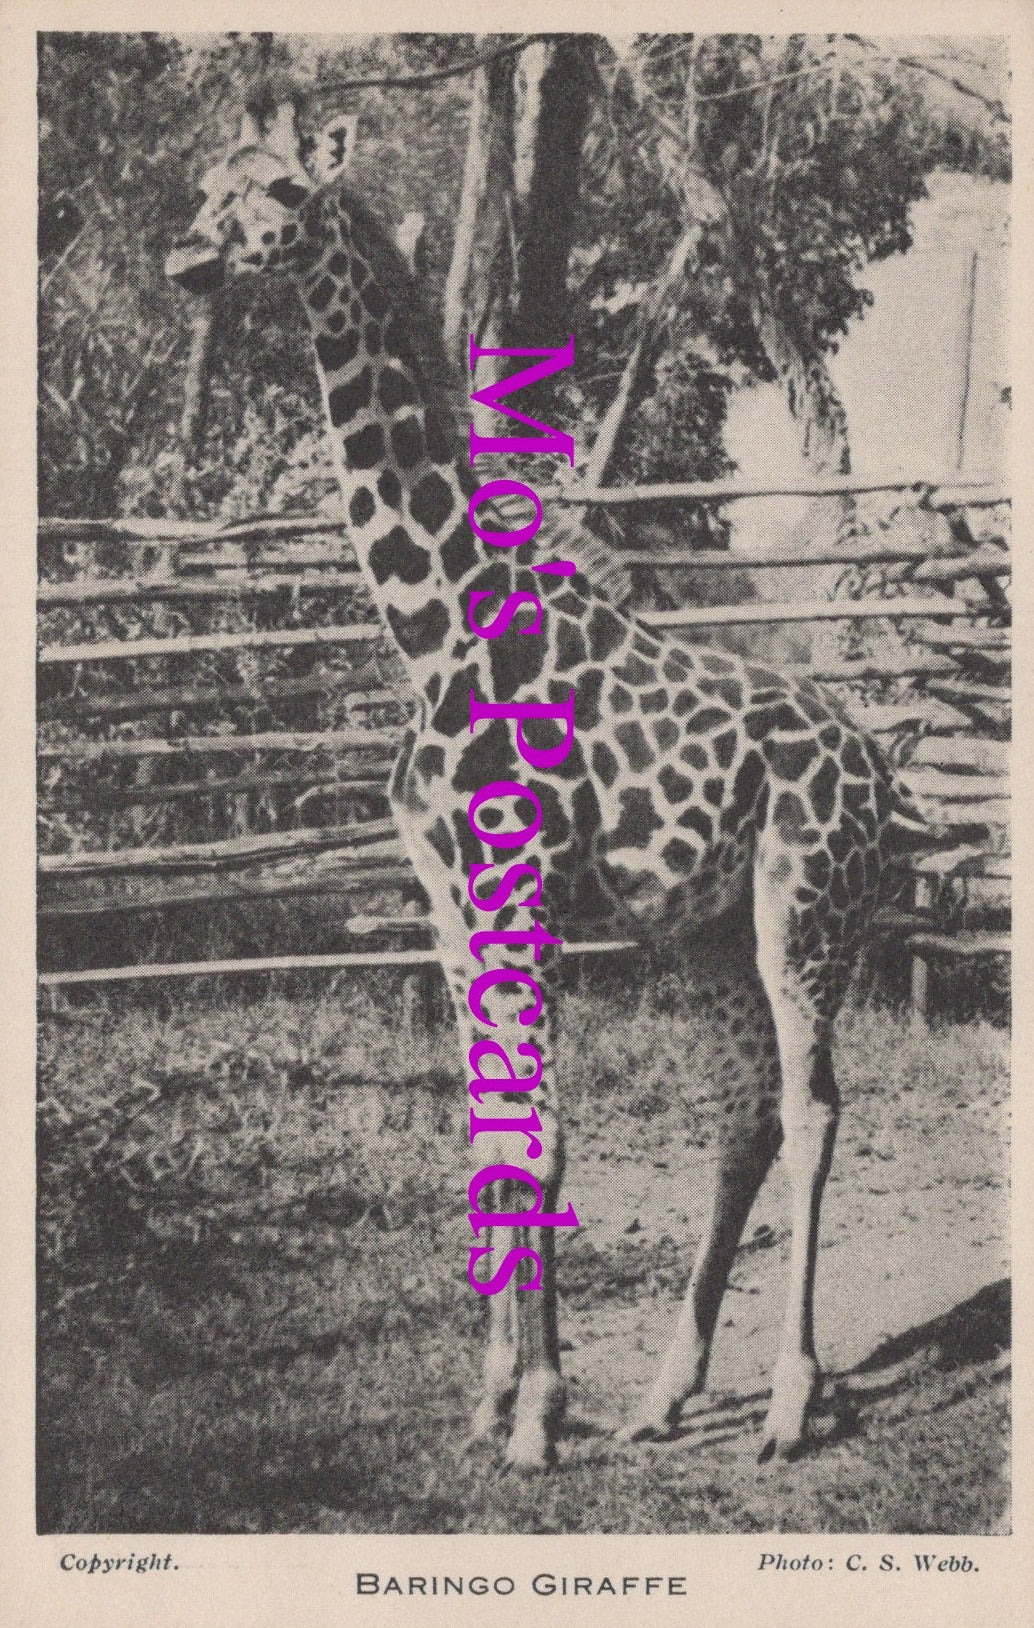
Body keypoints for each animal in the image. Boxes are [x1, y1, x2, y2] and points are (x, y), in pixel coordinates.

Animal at [167, 100, 923, 1471]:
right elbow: (489, 1134)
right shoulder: (445, 898)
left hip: (805, 908)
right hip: (705, 932)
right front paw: (489, 1396)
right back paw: (665, 1394)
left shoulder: (518, 884)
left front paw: (534, 1411)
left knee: (814, 1105)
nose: (187, 255)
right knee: (744, 1112)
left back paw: (785, 1402)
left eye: (284, 191)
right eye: (210, 184)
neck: (434, 623)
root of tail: (872, 760)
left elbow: (548, 1142)